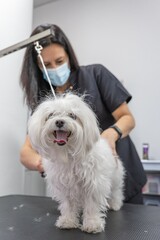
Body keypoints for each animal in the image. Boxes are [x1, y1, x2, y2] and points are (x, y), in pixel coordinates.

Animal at [27, 93, 125, 233]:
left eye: (72, 115)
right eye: (51, 115)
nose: (59, 122)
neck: (68, 154)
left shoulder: (93, 184)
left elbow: (92, 205)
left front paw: (92, 223)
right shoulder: (65, 186)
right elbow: (68, 205)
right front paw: (68, 221)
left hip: (115, 178)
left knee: (116, 192)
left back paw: (115, 204)